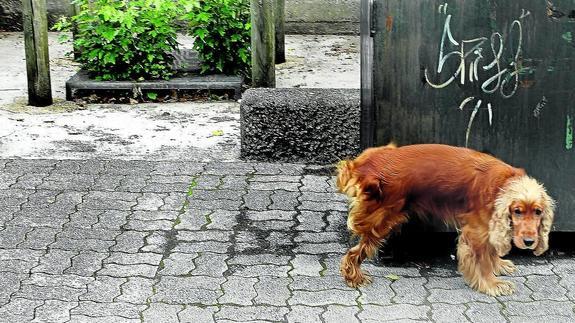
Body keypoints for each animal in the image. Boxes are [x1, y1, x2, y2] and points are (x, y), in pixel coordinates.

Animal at [340, 144, 556, 296]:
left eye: (538, 212)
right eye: (517, 211)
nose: (529, 242)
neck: (503, 184)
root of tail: (368, 163)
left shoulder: (489, 227)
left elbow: (492, 250)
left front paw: (499, 265)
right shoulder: (476, 232)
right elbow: (482, 260)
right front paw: (491, 284)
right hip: (381, 219)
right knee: (354, 252)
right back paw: (354, 276)